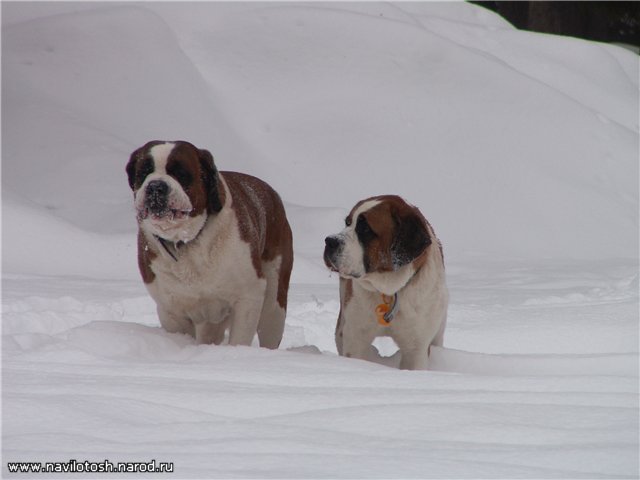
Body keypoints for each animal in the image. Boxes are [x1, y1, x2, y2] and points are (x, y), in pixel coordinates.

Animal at [124, 140, 292, 348]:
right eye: (144, 173)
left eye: (181, 173)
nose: (155, 185)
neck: (187, 241)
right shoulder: (171, 310)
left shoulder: (249, 295)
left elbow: (240, 337)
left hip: (274, 304)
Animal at [322, 195, 448, 372]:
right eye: (348, 223)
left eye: (365, 229)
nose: (329, 241)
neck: (390, 291)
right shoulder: (355, 336)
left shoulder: (417, 347)